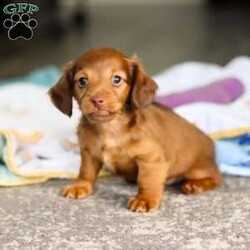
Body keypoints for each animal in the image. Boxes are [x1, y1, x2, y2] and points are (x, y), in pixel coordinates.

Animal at [49, 47, 223, 212]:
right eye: (82, 81)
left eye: (117, 79)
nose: (97, 100)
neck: (110, 128)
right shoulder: (89, 153)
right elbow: (86, 171)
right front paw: (80, 186)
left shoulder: (151, 159)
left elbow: (147, 180)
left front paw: (144, 199)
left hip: (198, 170)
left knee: (216, 178)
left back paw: (195, 185)